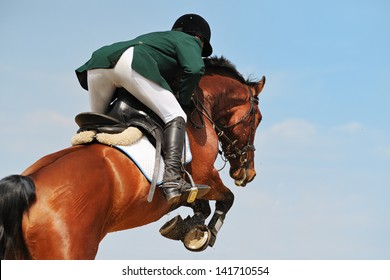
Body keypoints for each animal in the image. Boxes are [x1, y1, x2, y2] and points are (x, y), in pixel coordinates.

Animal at [0, 57, 266, 260]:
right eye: (259, 119)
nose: (248, 174)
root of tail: (28, 185)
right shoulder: (204, 176)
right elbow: (226, 199)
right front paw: (202, 234)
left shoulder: (196, 186)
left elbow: (201, 204)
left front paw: (186, 226)